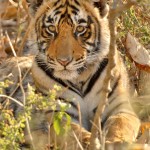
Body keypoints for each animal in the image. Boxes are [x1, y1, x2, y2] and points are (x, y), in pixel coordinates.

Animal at [0, 0, 140, 149]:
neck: (79, 78)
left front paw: (116, 143)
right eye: (51, 28)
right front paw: (92, 144)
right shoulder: (60, 113)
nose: (64, 61)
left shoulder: (119, 107)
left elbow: (120, 124)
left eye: (80, 29)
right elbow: (76, 134)